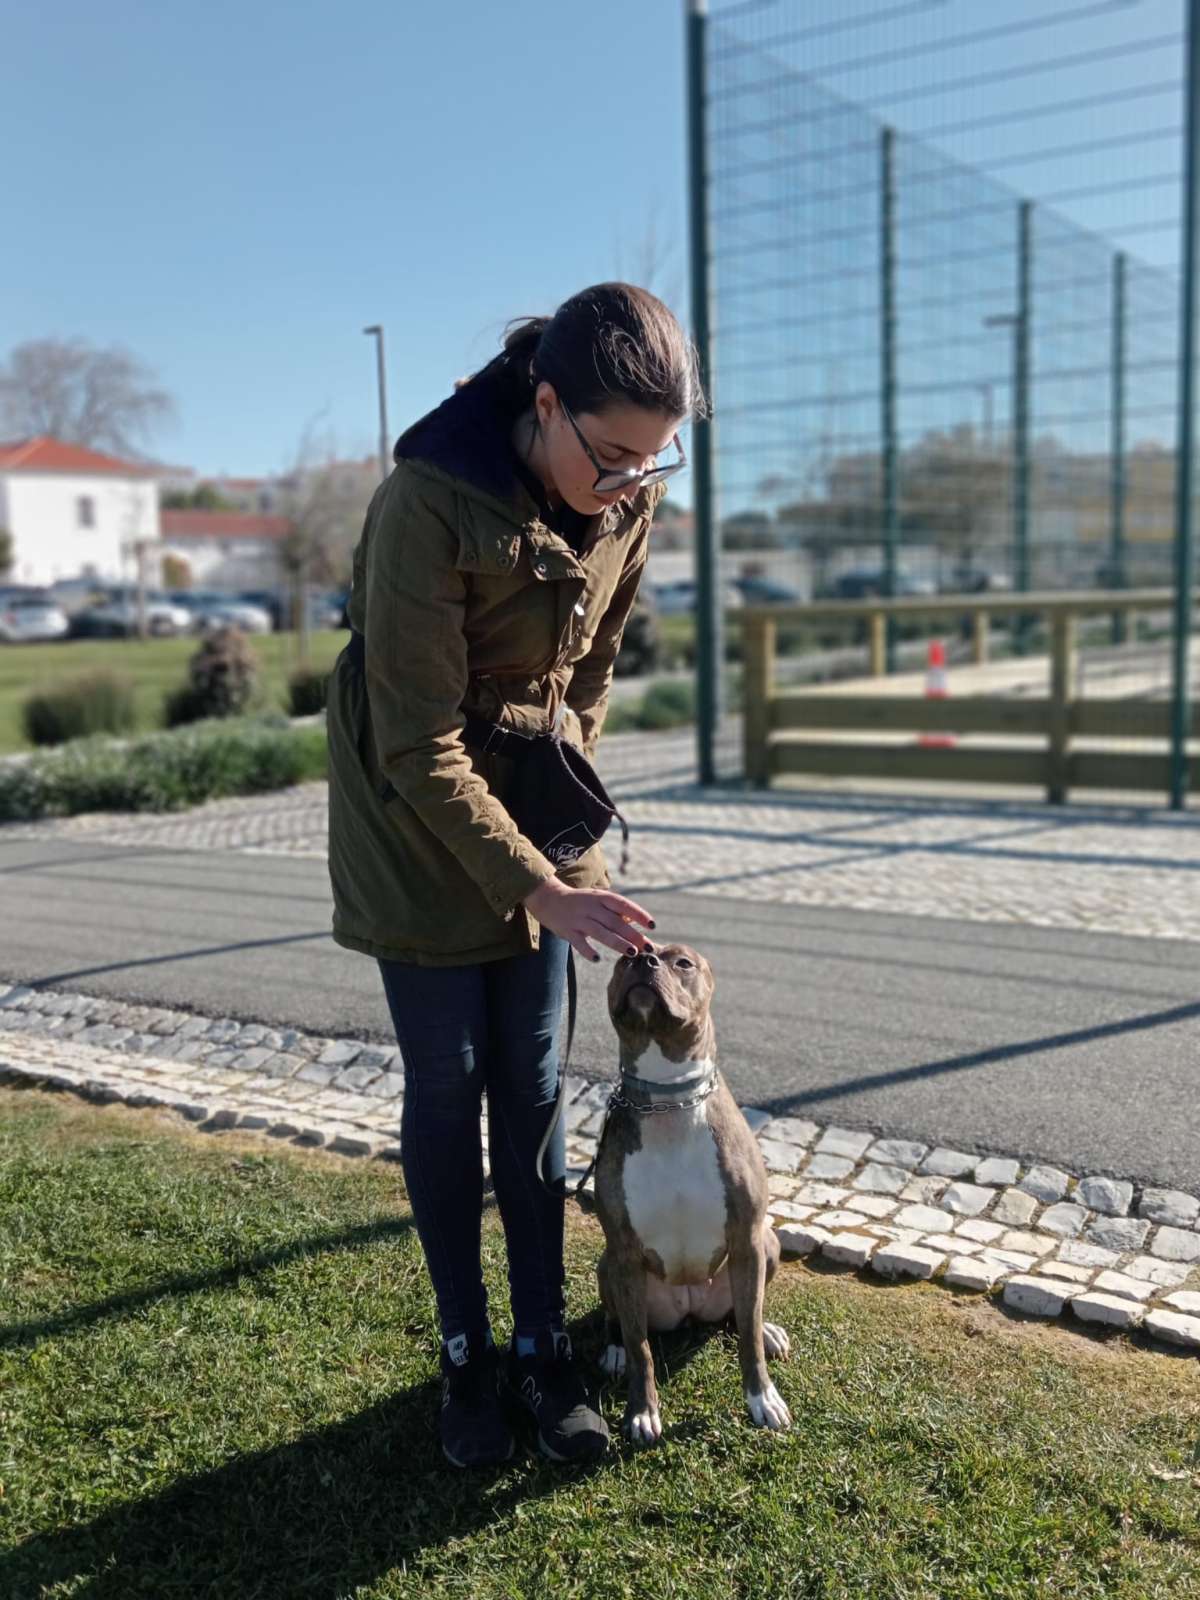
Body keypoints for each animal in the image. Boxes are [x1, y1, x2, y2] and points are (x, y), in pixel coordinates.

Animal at [598, 934, 793, 1452]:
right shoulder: (624, 1252)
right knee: (621, 1324)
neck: (670, 1101)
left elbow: (746, 1335)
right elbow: (641, 1348)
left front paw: (762, 1398)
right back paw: (612, 1350)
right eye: (623, 958)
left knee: (742, 1315)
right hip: (607, 1266)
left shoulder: (747, 1239)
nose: (643, 960)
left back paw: (768, 1330)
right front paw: (642, 1412)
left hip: (766, 1246)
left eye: (682, 962)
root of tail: (689, 1311)